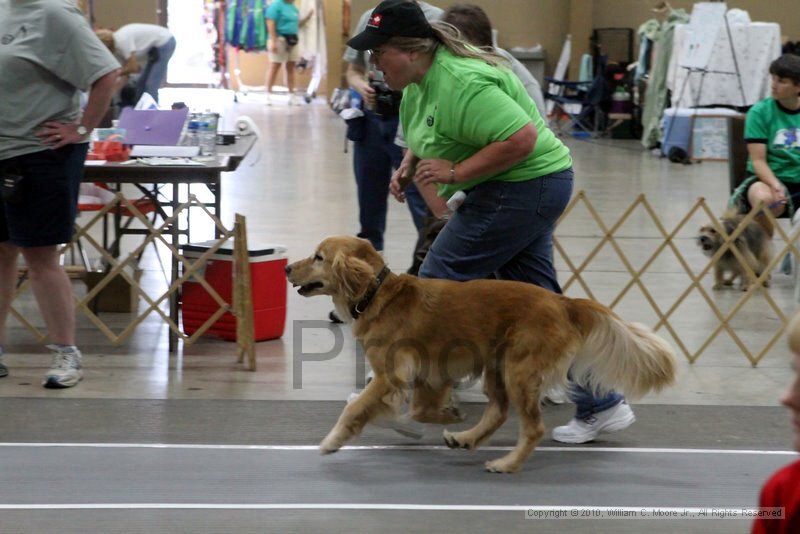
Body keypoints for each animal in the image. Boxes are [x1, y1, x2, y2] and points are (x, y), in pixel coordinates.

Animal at [288, 237, 676, 476]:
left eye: (319, 257)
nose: (287, 268)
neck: (378, 294)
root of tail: (562, 301)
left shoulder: (391, 375)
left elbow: (355, 408)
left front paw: (332, 442)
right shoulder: (431, 373)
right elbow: (420, 409)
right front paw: (448, 414)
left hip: (519, 370)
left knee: (531, 427)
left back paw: (506, 464)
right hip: (497, 367)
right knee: (498, 411)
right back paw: (466, 438)